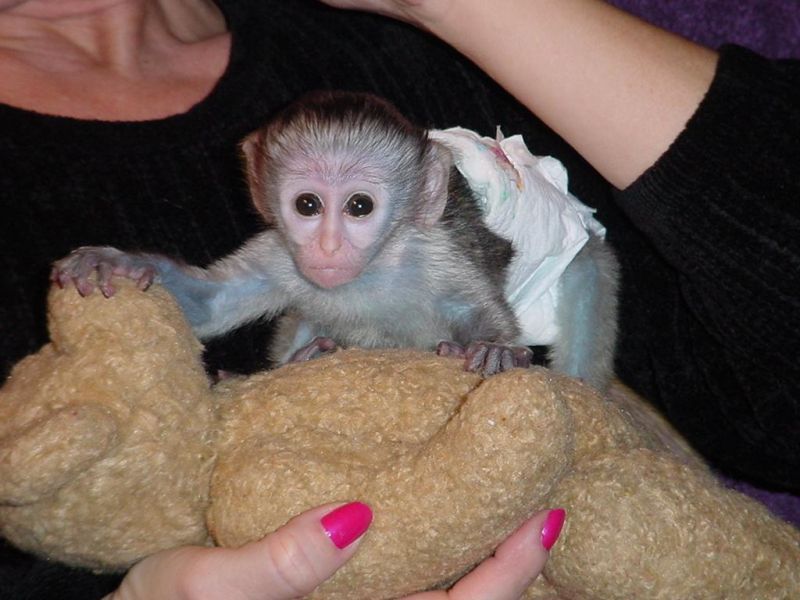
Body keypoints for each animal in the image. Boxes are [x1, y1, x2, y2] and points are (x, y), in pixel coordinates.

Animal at [52, 91, 618, 385]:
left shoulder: (433, 253)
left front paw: (495, 350)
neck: (370, 274)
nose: (326, 248)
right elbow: (212, 305)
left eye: (359, 207)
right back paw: (308, 355)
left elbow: (478, 310)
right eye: (307, 205)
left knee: (589, 271)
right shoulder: (281, 255)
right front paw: (117, 262)